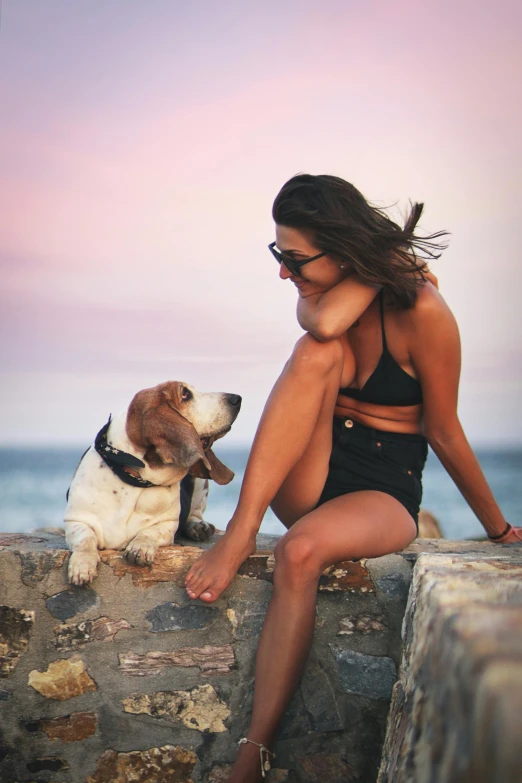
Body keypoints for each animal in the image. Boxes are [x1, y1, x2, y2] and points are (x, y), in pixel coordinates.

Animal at [64, 382, 241, 584]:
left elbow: (149, 532)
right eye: (185, 395)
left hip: (200, 486)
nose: (237, 399)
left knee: (195, 513)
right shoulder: (76, 520)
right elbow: (85, 540)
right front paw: (82, 565)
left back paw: (197, 527)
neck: (135, 479)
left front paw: (140, 547)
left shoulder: (167, 524)